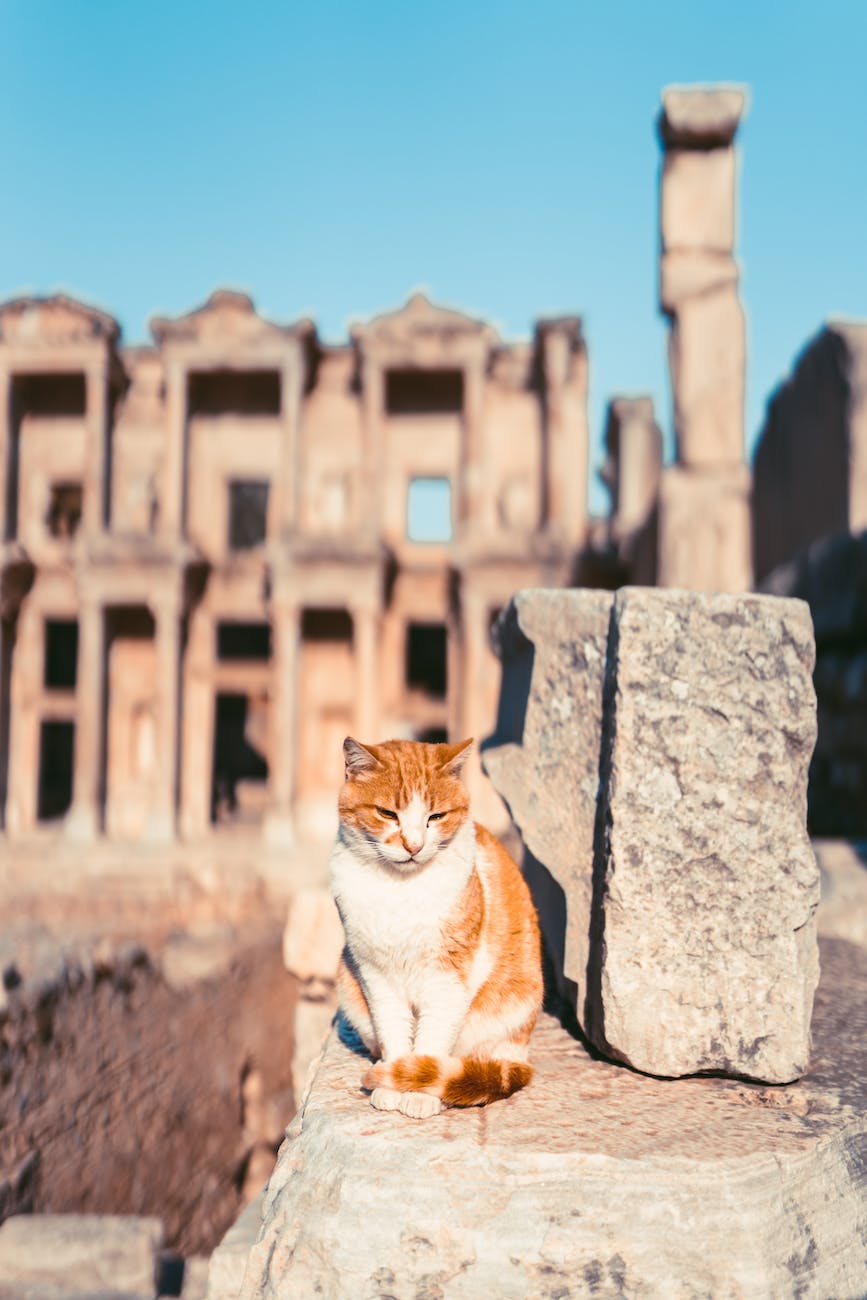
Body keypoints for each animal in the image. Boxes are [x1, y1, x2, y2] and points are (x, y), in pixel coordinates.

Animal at [330, 738, 543, 1123]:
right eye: (388, 813)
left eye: (436, 817)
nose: (413, 845)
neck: (400, 890)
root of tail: (520, 1053)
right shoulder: (375, 976)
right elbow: (395, 1033)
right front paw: (393, 1083)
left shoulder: (447, 979)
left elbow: (431, 1041)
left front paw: (418, 1092)